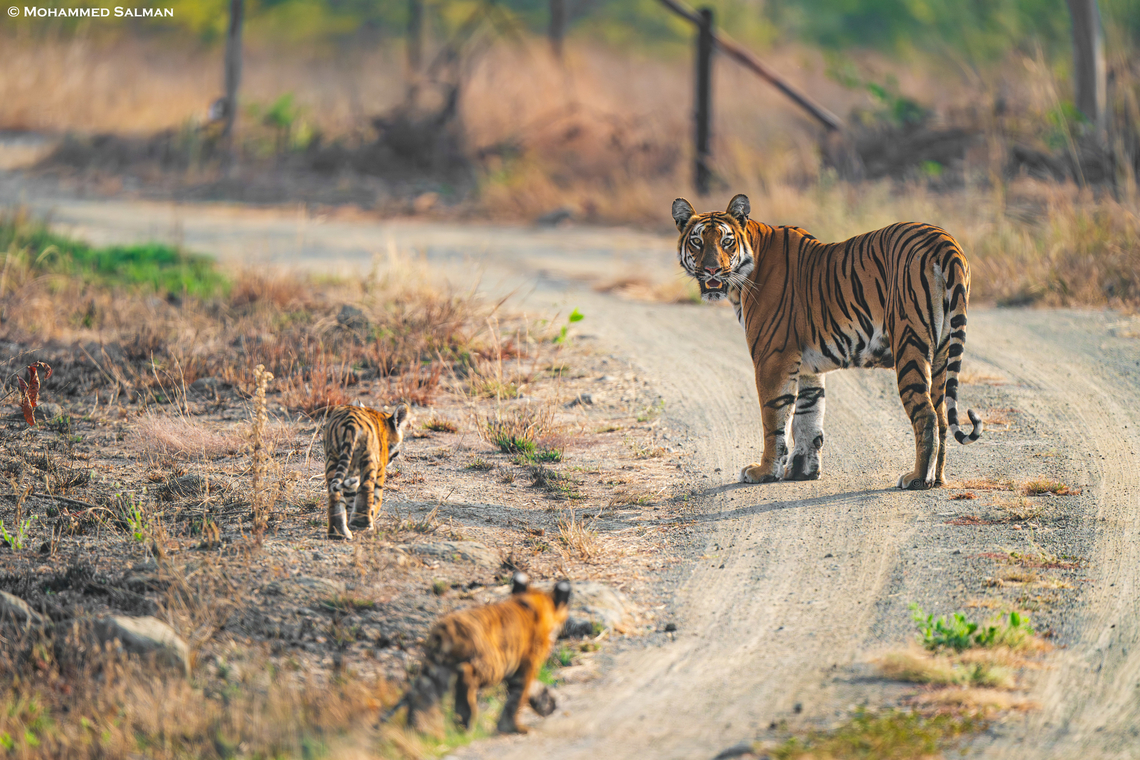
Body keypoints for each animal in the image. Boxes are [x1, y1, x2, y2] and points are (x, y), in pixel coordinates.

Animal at [322, 403, 409, 540]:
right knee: (366, 487)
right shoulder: (380, 467)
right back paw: (362, 524)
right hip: (368, 457)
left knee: (334, 494)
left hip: (333, 458)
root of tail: (350, 422)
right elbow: (376, 496)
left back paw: (338, 533)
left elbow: (351, 497)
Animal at [396, 572, 572, 735]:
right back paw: (465, 720)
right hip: (492, 665)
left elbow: (529, 690)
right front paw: (513, 727)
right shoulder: (527, 666)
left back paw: (422, 731)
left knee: (421, 698)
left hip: (435, 672)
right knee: (465, 674)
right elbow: (517, 697)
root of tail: (444, 630)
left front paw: (547, 703)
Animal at [672, 193, 982, 490]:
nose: (711, 270)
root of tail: (945, 240)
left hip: (910, 344)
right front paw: (803, 471)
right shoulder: (807, 367)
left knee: (927, 415)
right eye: (697, 241)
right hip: (941, 353)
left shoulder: (772, 358)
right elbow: (807, 419)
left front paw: (764, 472)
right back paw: (937, 478)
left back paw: (917, 478)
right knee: (942, 417)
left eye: (726, 242)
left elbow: (774, 419)